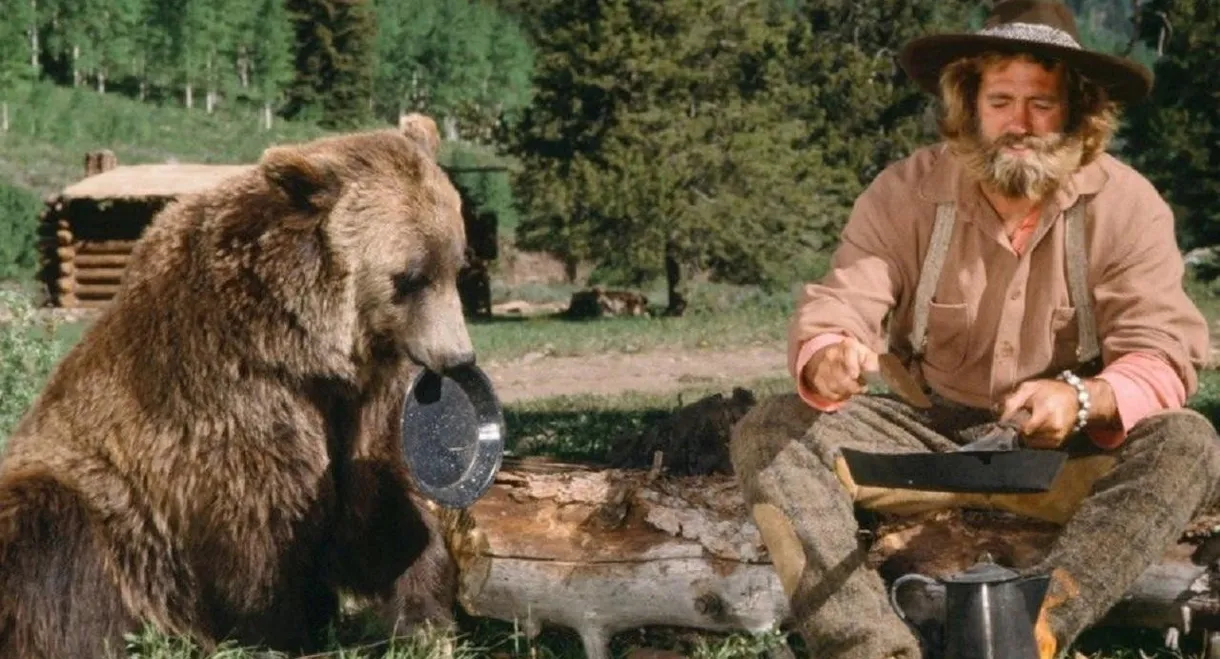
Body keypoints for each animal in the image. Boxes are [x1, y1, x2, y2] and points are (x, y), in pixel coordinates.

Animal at [0, 114, 470, 657]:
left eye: (455, 265)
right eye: (409, 277)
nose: (459, 357)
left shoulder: (363, 398)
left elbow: (380, 500)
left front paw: (425, 620)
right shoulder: (232, 393)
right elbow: (259, 523)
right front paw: (284, 630)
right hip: (99, 508)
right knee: (48, 541)